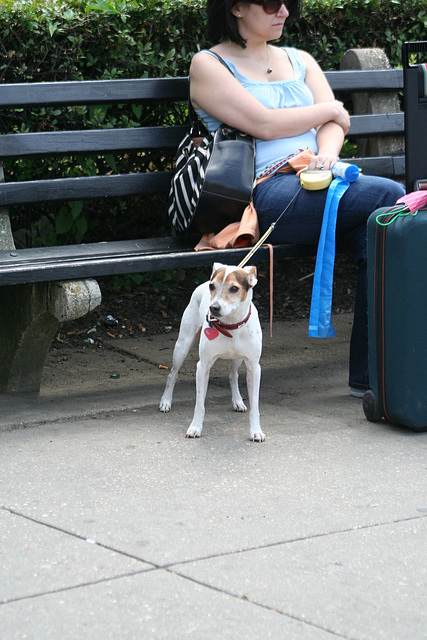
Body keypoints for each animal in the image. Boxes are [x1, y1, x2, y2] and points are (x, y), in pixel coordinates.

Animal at [160, 262, 264, 442]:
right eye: (212, 286)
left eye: (234, 288)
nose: (213, 307)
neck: (230, 325)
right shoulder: (203, 367)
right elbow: (199, 404)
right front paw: (195, 428)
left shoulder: (253, 367)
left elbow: (255, 407)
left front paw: (256, 431)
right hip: (182, 346)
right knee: (172, 374)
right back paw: (166, 401)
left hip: (238, 358)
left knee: (233, 375)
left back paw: (237, 401)